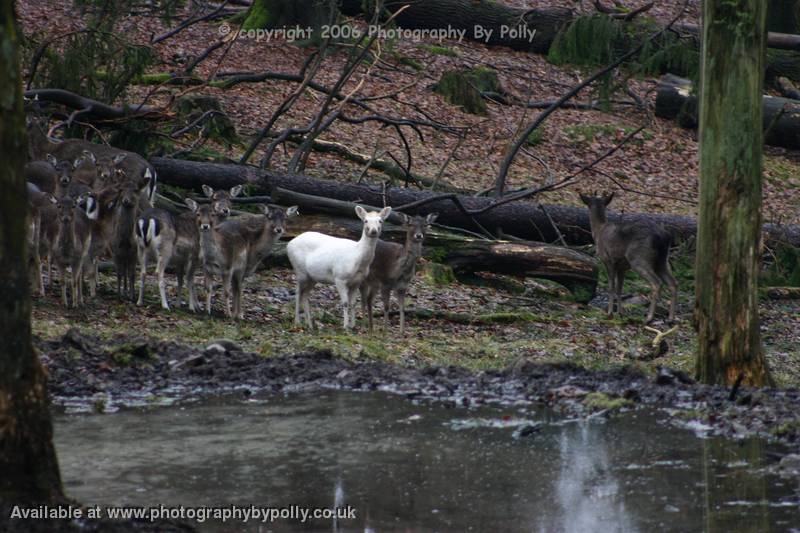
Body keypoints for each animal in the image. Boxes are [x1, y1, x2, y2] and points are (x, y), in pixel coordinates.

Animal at [580, 193, 676, 322]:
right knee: (673, 283)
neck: (599, 232)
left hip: (639, 258)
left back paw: (649, 317)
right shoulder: (622, 267)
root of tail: (664, 237)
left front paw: (610, 313)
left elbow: (611, 286)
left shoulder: (608, 259)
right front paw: (620, 312)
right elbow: (620, 288)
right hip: (662, 260)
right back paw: (670, 318)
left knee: (656, 283)